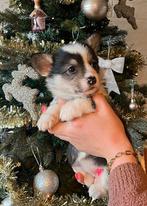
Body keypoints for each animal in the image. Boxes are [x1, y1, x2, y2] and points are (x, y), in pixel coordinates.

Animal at [31, 33, 108, 200]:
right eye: (71, 69)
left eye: (94, 64)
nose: (93, 79)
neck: (71, 96)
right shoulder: (60, 98)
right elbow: (54, 105)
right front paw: (45, 118)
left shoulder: (95, 101)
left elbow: (83, 100)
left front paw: (68, 109)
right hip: (76, 165)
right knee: (85, 175)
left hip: (105, 163)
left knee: (104, 176)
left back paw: (96, 189)